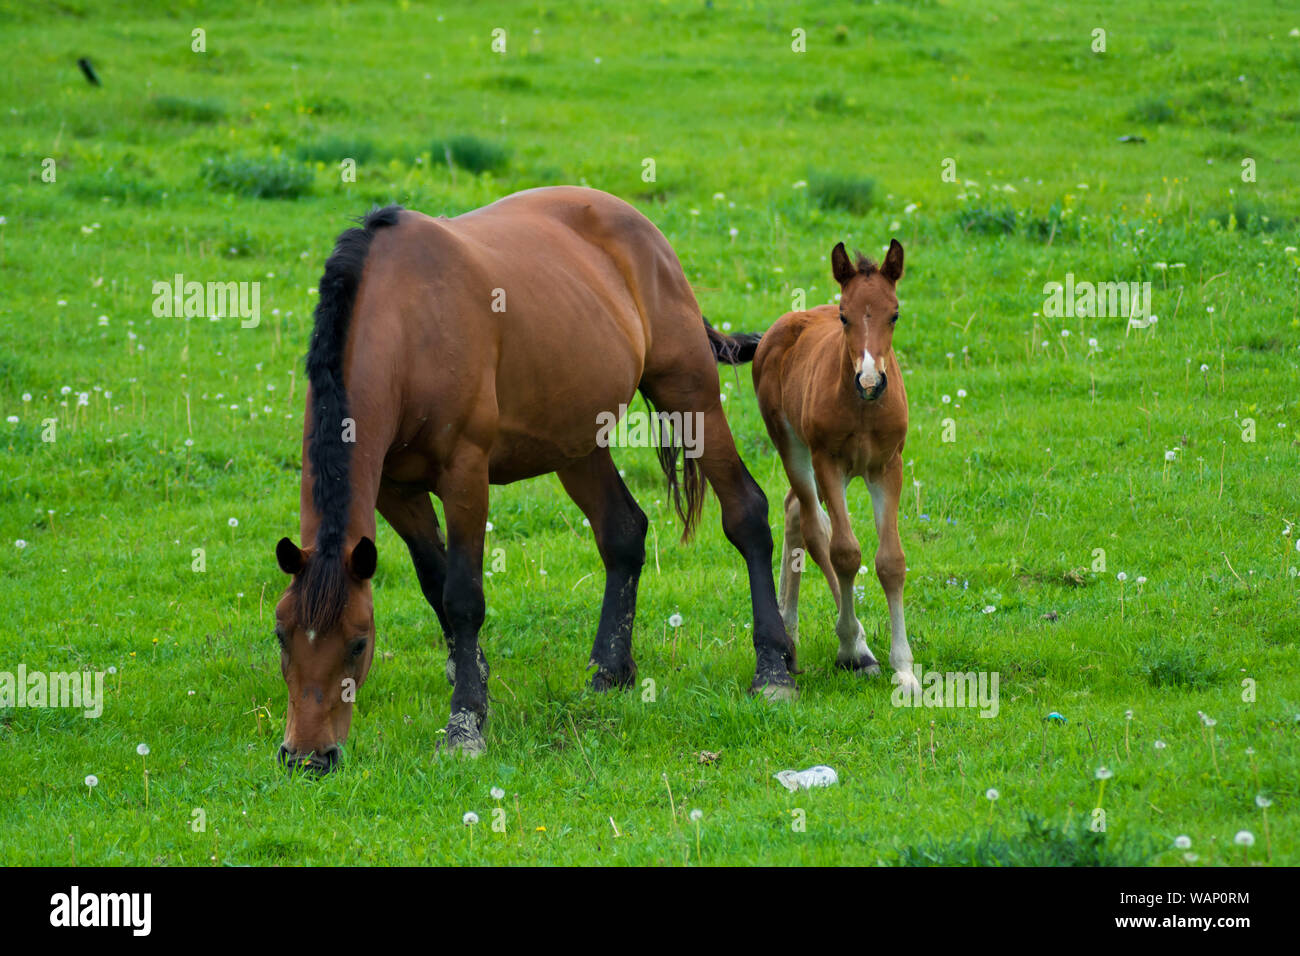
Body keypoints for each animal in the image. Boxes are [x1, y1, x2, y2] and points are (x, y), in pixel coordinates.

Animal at [276, 188, 790, 780]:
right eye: (281, 636)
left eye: (359, 644)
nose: (307, 757)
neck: (405, 325)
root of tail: (641, 227)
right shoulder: (395, 491)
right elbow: (433, 581)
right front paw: (472, 677)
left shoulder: (465, 473)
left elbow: (461, 596)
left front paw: (465, 725)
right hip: (577, 441)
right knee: (623, 533)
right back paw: (609, 670)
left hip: (689, 394)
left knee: (747, 513)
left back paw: (774, 670)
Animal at [748, 239, 920, 697]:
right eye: (845, 315)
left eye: (895, 313)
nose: (870, 381)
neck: (863, 408)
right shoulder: (828, 462)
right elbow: (844, 552)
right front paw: (852, 650)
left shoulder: (887, 467)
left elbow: (891, 561)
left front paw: (905, 670)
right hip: (794, 448)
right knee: (813, 525)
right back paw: (849, 645)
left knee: (796, 510)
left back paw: (790, 631)